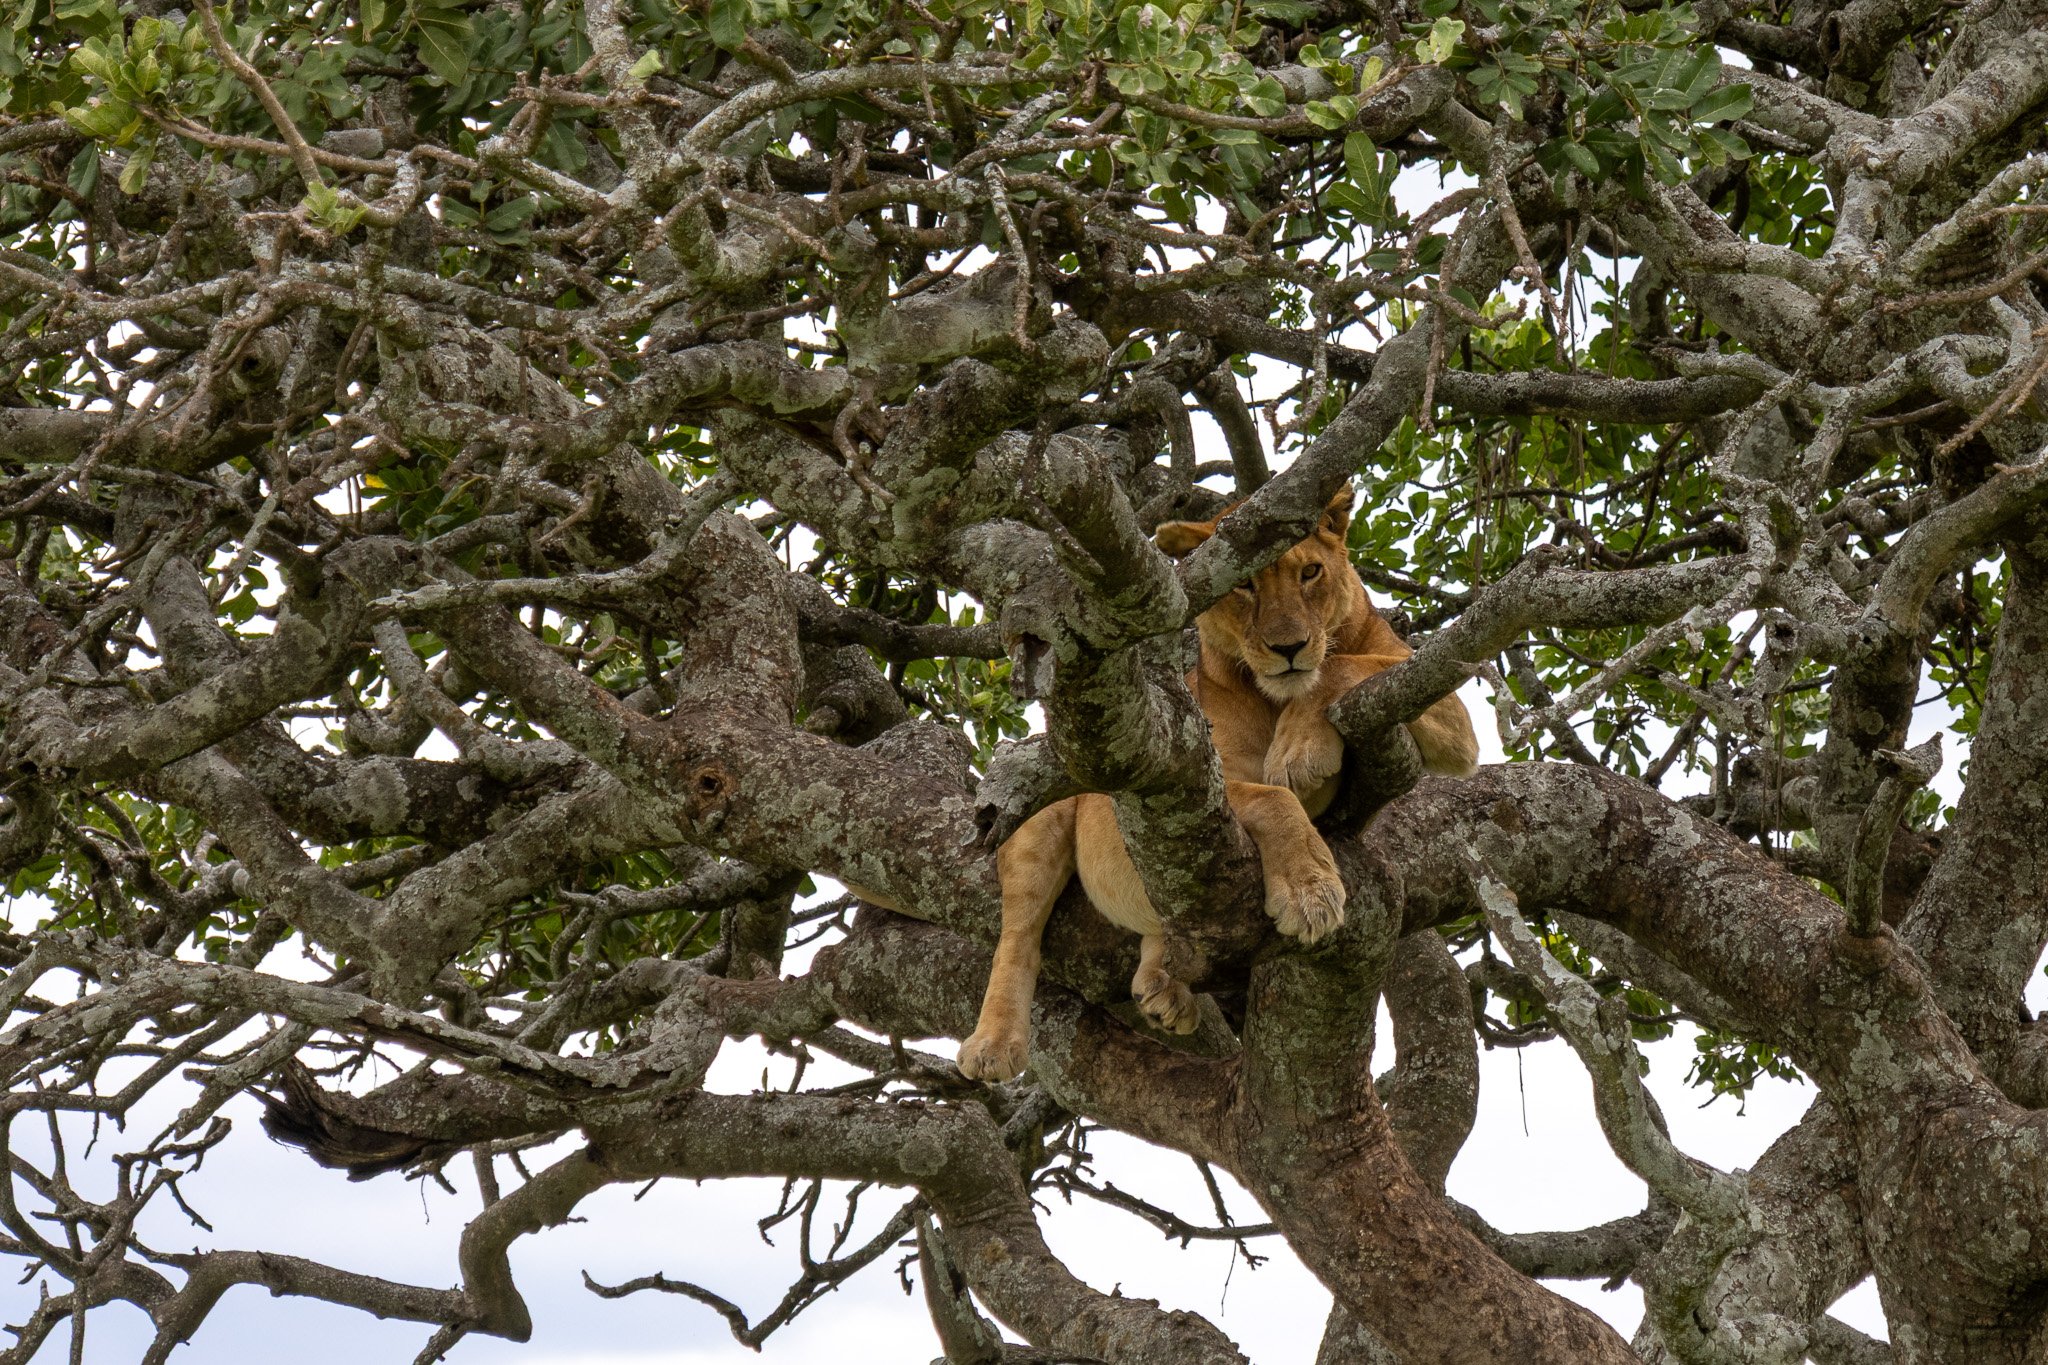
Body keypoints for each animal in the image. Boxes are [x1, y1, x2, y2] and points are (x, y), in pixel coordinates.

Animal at [955, 485, 1480, 1082]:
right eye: (1244, 586)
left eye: (1310, 573)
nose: (1288, 648)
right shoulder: (1200, 779)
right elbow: (1276, 799)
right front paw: (1309, 892)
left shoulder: (1443, 700)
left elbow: (1342, 666)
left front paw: (1299, 747)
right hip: (1043, 811)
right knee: (1016, 936)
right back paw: (995, 1041)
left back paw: (1163, 984)